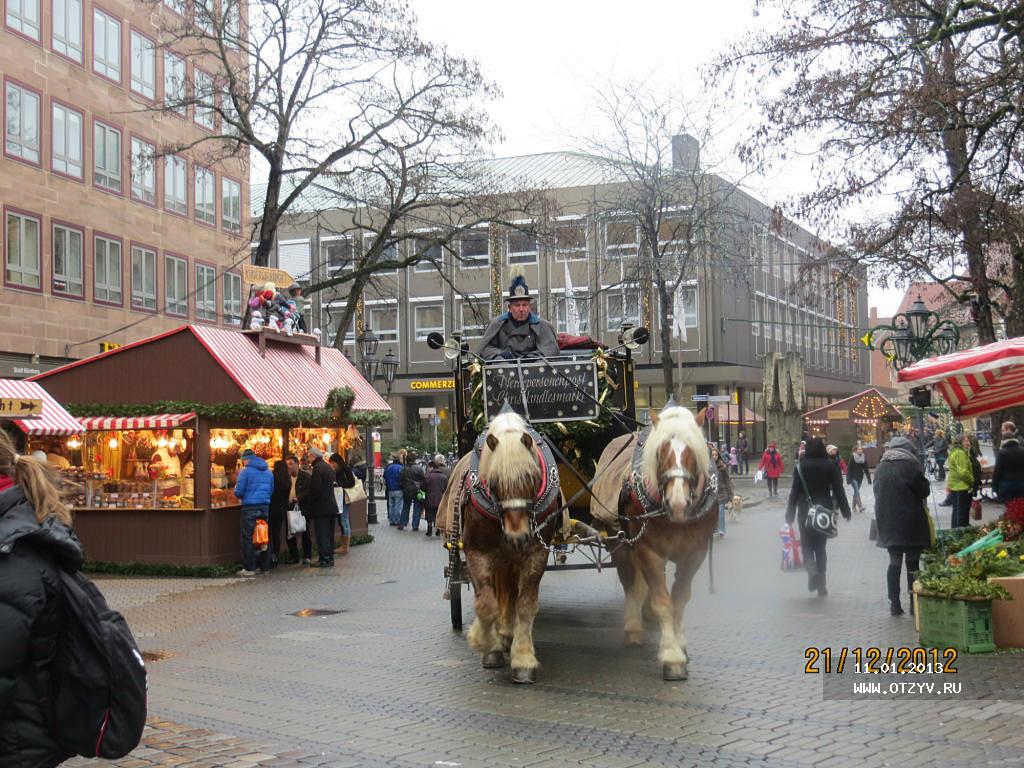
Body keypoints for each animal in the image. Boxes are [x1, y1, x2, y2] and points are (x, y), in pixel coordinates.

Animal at [462, 411, 561, 684]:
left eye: (531, 478)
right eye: (494, 482)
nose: (518, 537)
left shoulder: (536, 553)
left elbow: (525, 605)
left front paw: (524, 658)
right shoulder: (476, 551)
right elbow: (486, 604)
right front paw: (485, 644)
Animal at [589, 403, 716, 679]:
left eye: (694, 450)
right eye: (661, 451)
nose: (678, 502)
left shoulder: (695, 553)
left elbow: (679, 598)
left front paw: (680, 644)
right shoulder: (649, 551)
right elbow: (663, 602)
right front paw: (671, 656)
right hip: (619, 540)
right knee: (629, 580)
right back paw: (634, 627)